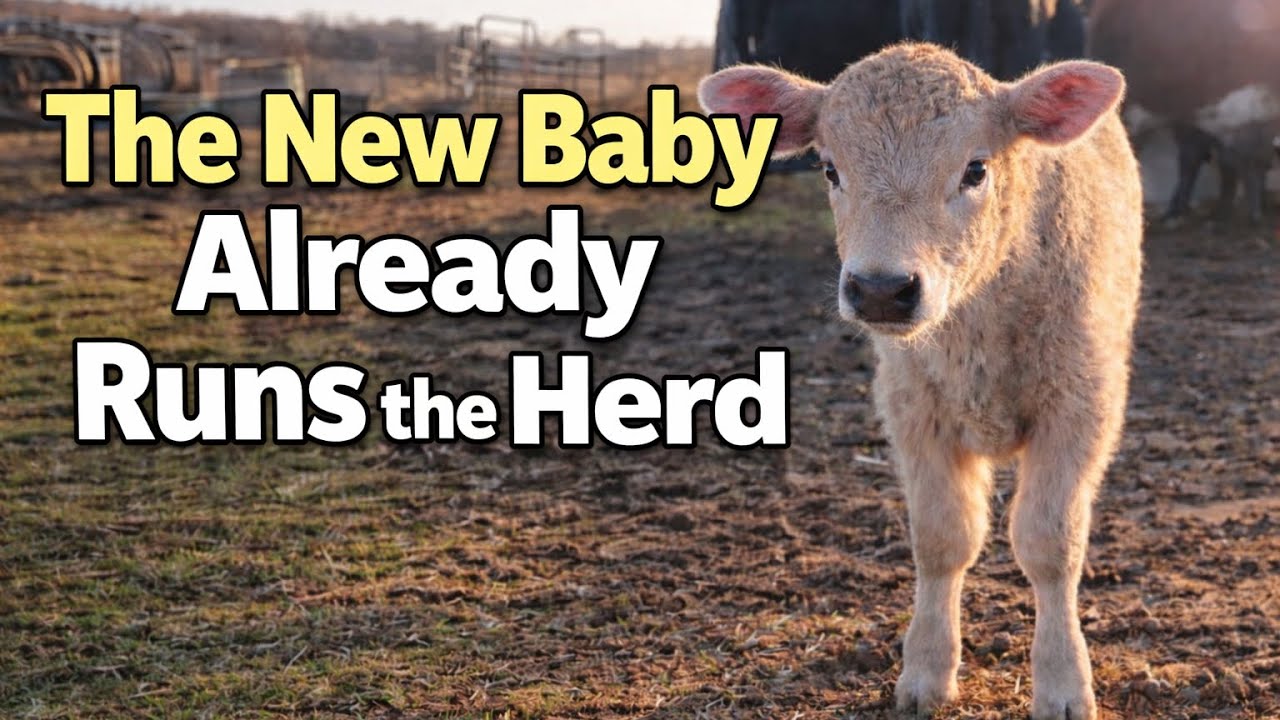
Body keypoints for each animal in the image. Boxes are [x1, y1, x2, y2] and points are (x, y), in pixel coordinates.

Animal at [700, 43, 1142, 718]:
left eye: (976, 169)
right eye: (829, 169)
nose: (881, 289)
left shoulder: (1081, 403)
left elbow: (1050, 544)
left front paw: (1064, 682)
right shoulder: (911, 407)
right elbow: (941, 538)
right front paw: (927, 671)